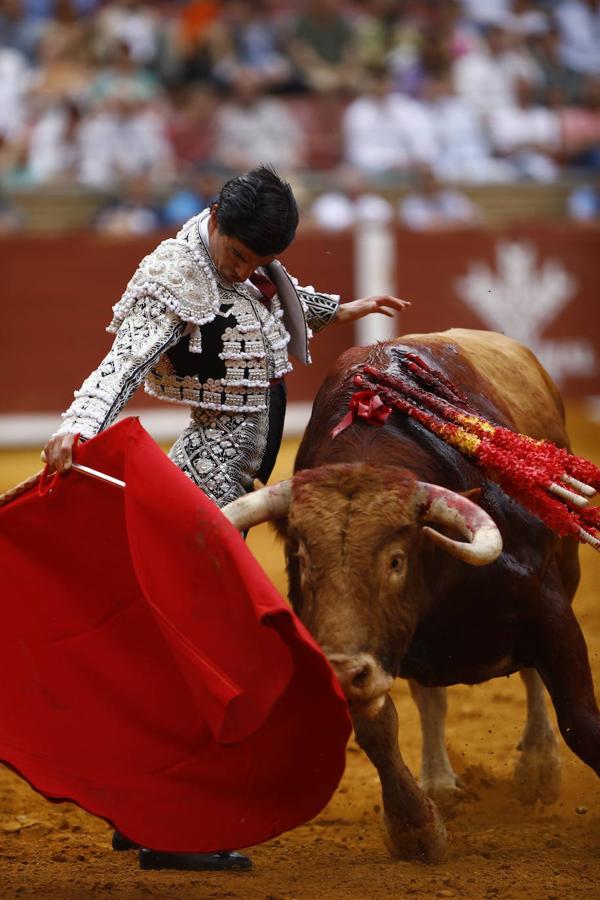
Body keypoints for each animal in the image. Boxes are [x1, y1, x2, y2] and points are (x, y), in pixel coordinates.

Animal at [223, 330, 596, 864]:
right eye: (302, 558)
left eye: (396, 561)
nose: (343, 671)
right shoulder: (364, 647)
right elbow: (378, 730)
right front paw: (416, 828)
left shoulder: (549, 609)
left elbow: (579, 720)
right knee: (431, 699)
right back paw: (440, 784)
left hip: (566, 574)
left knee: (530, 678)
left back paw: (537, 772)